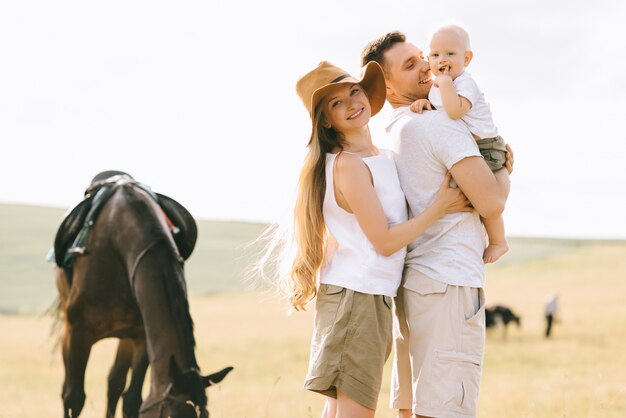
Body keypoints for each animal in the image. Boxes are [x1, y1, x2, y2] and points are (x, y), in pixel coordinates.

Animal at [53, 171, 233, 416]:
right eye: (171, 416)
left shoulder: (141, 335)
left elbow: (132, 399)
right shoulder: (79, 333)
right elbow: (73, 398)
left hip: (125, 335)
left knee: (115, 382)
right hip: (69, 330)